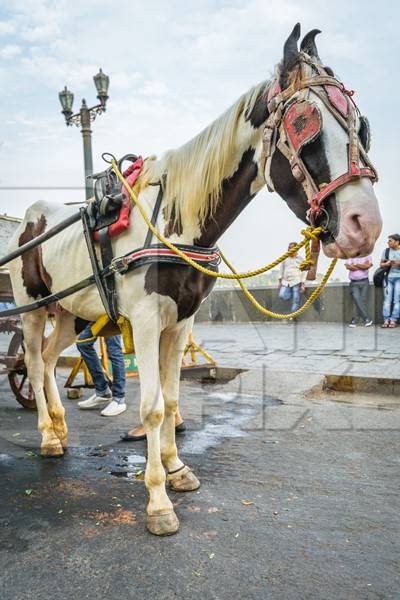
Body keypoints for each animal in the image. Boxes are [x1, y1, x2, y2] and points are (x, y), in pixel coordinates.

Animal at [7, 27, 382, 536]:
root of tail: (27, 223)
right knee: (28, 358)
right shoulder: (146, 321)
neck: (178, 218)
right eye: (306, 124)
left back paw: (60, 429)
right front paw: (157, 501)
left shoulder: (181, 321)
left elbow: (170, 397)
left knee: (46, 360)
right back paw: (47, 435)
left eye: (362, 128)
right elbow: (151, 406)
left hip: (70, 313)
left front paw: (176, 469)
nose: (366, 225)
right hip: (31, 307)